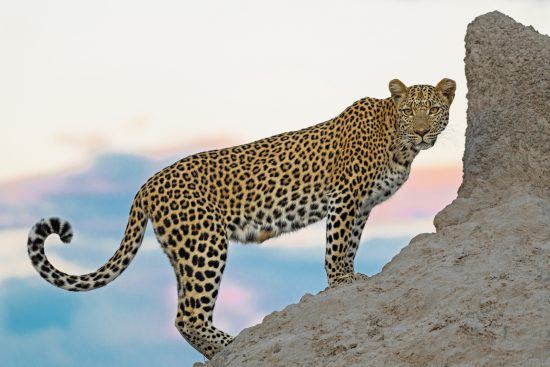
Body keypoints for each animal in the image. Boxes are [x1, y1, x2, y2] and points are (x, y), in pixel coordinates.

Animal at [25, 77, 458, 360]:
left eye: (434, 109)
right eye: (409, 111)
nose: (422, 131)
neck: (397, 140)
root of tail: (146, 184)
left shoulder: (363, 206)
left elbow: (350, 243)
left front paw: (349, 276)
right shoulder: (347, 196)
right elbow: (337, 244)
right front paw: (340, 281)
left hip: (183, 252)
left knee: (185, 311)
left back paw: (222, 350)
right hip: (204, 242)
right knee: (188, 315)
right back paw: (234, 344)